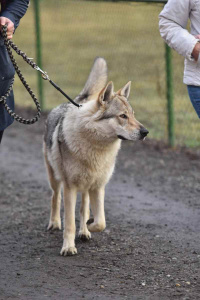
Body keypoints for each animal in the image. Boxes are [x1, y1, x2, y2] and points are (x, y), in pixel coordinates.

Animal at [43, 58, 148, 255]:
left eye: (133, 115)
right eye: (122, 116)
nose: (145, 132)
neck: (96, 148)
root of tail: (71, 103)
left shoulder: (98, 186)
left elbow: (101, 222)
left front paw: (89, 225)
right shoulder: (70, 187)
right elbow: (70, 222)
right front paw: (68, 247)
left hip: (86, 187)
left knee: (83, 208)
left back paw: (84, 231)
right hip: (55, 178)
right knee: (55, 197)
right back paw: (54, 223)